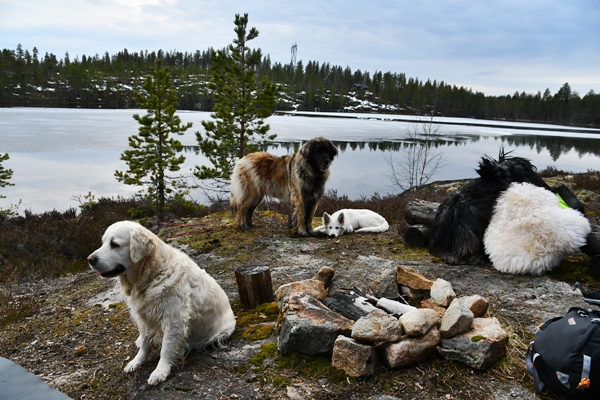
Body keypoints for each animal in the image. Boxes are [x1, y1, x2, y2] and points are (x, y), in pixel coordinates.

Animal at [87, 220, 237, 386]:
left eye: (114, 244)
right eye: (103, 243)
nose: (90, 259)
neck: (151, 276)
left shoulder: (174, 320)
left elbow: (166, 348)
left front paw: (160, 371)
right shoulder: (144, 317)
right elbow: (145, 343)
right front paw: (136, 361)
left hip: (223, 332)